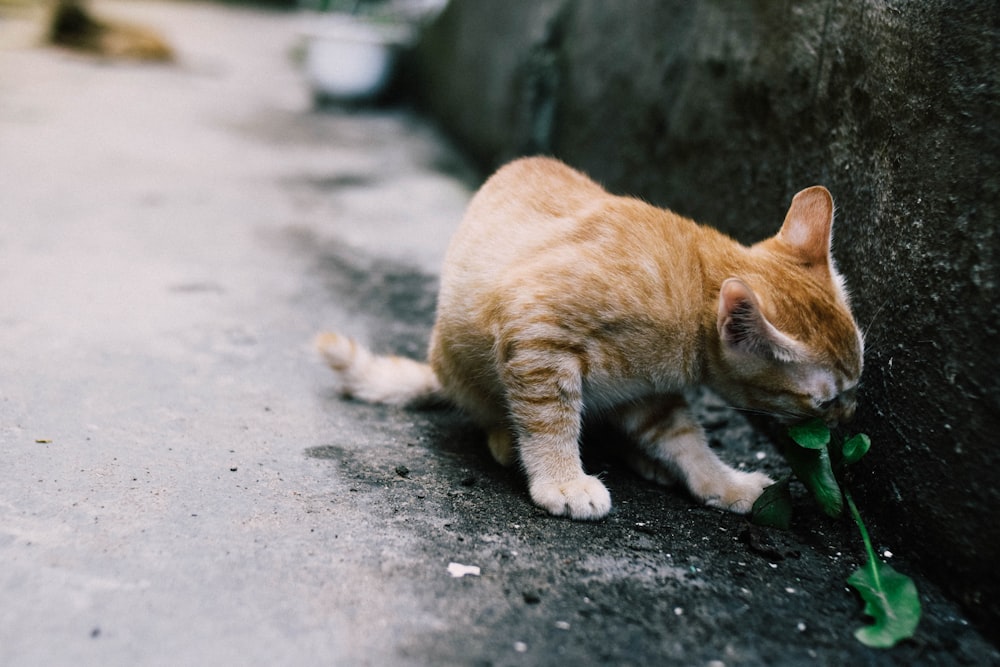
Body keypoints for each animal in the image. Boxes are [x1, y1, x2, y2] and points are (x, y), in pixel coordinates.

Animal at [316, 158, 864, 520]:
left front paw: (720, 481)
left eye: (857, 385)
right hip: (462, 361)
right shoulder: (535, 331)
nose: (849, 416)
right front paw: (561, 479)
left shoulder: (650, 392)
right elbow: (550, 418)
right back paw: (506, 439)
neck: (689, 285)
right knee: (493, 410)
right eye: (824, 401)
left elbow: (686, 440)